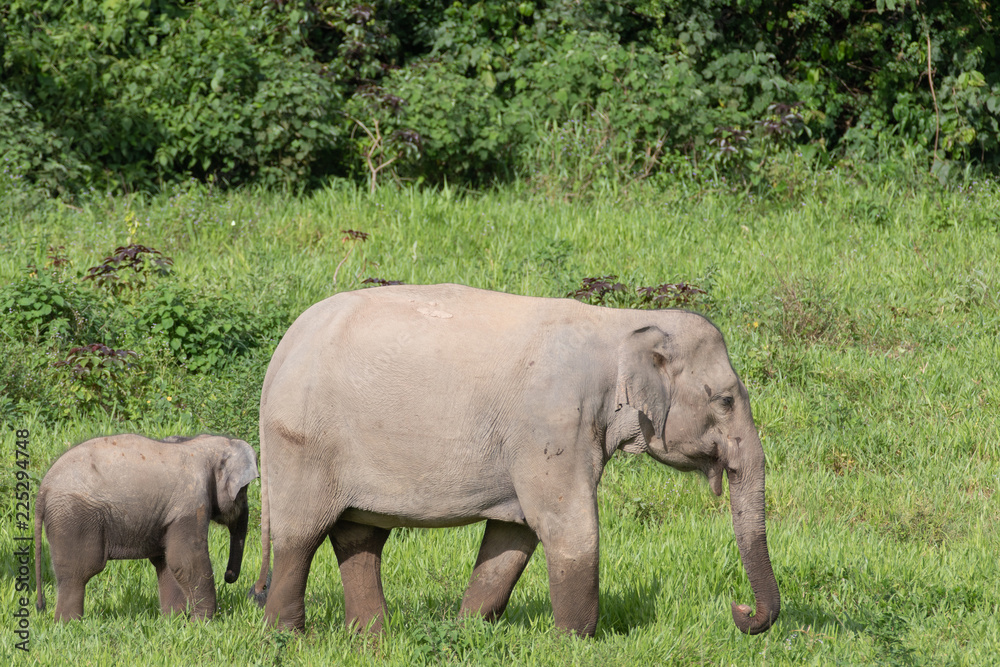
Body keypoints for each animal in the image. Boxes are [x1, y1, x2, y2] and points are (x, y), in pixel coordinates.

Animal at [34, 433, 259, 621]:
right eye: (244, 491)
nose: (228, 576)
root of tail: (43, 489)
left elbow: (167, 561)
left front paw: (174, 622)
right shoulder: (191, 501)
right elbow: (185, 560)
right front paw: (202, 623)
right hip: (74, 517)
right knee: (78, 573)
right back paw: (69, 624)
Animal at [250, 283, 779, 637]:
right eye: (726, 401)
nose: (740, 613)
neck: (619, 323)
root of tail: (282, 348)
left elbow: (514, 533)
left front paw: (468, 632)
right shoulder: (552, 424)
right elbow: (568, 527)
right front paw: (574, 644)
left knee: (359, 534)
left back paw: (371, 638)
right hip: (302, 443)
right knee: (301, 537)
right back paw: (287, 638)